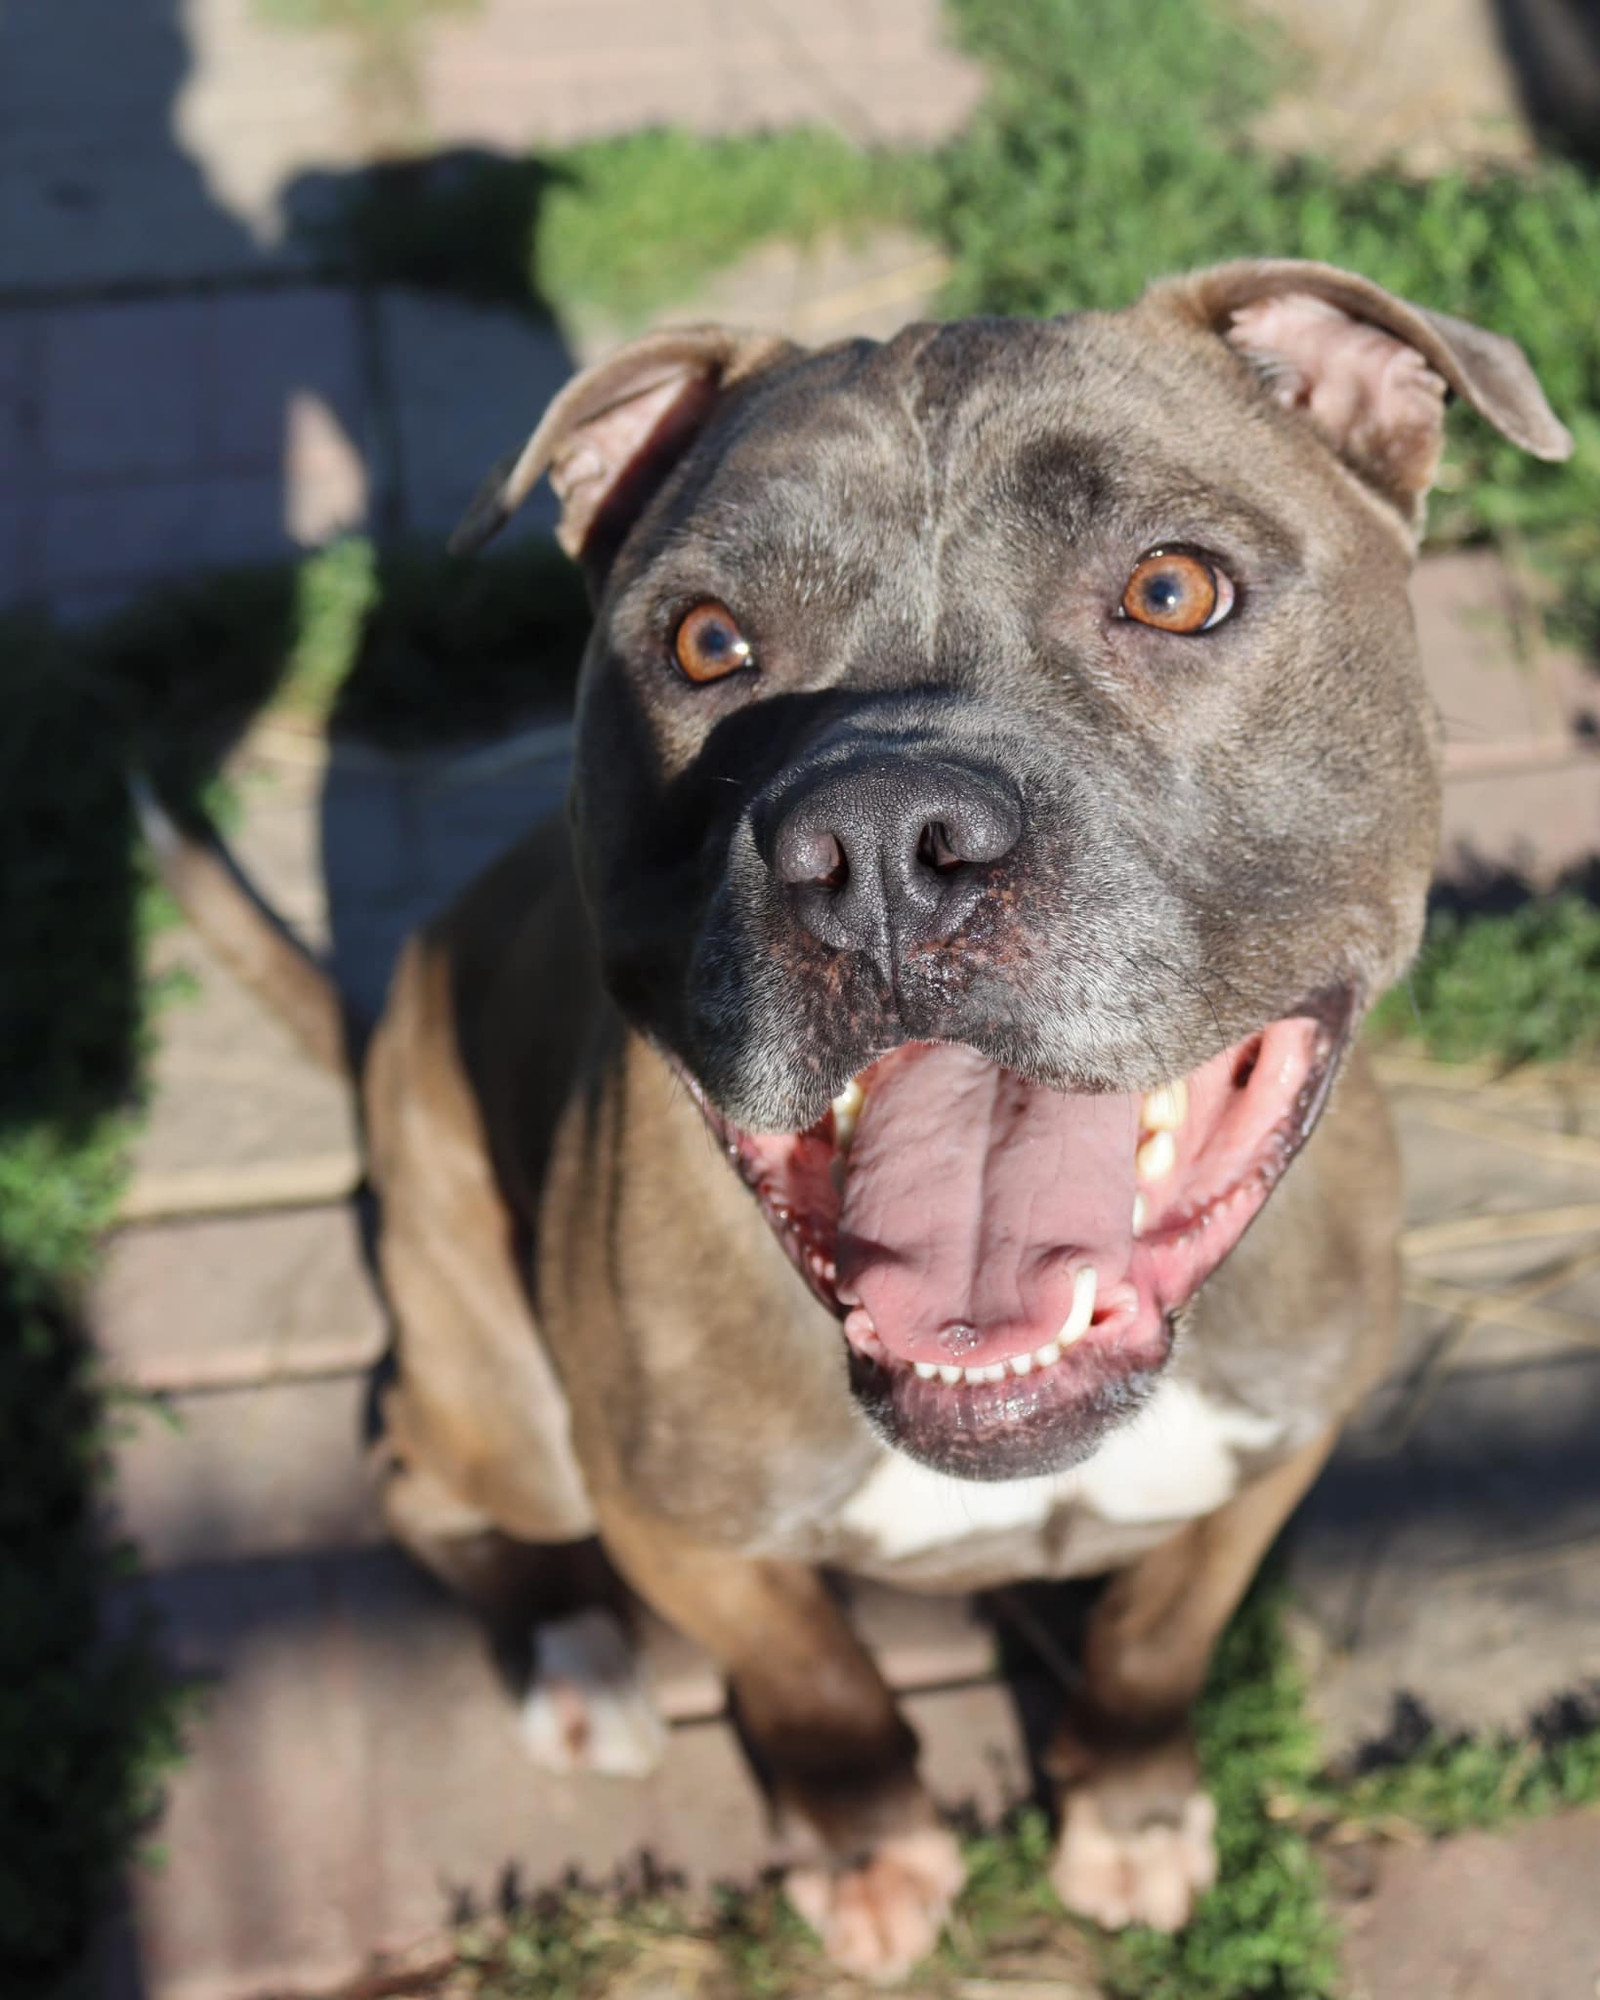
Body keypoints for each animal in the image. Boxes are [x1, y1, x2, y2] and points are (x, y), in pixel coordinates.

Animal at [156, 258, 1568, 1976]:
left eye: (1176, 590)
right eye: (706, 640)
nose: (884, 841)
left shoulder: (1279, 1454)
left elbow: (1155, 1645)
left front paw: (1133, 1810)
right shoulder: (676, 1520)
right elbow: (816, 1685)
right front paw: (869, 1848)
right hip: (507, 1392)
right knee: (414, 1464)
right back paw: (574, 1655)